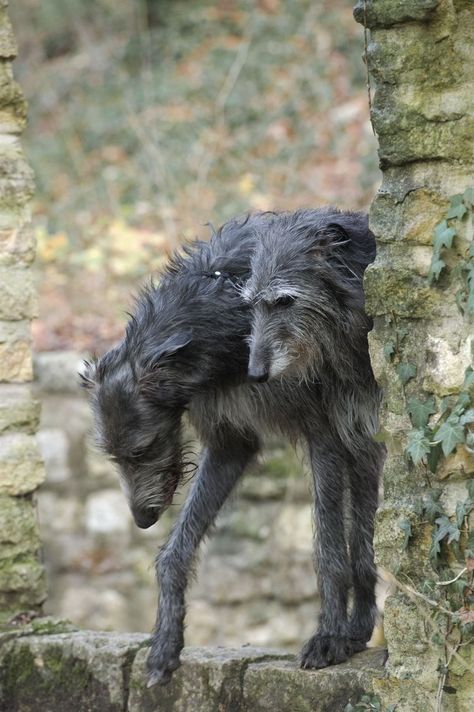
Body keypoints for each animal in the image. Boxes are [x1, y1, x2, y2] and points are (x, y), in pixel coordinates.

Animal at [82, 209, 386, 688]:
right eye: (112, 455)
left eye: (142, 448)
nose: (142, 520)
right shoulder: (230, 442)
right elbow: (174, 552)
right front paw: (164, 644)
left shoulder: (322, 433)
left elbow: (328, 547)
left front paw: (327, 638)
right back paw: (359, 629)